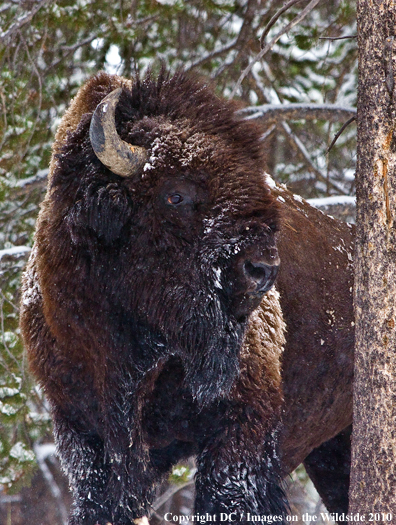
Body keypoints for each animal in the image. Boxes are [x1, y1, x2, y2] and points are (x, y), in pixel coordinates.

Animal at [18, 70, 354, 524]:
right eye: (175, 194)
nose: (263, 269)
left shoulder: (241, 424)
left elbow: (225, 497)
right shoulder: (81, 428)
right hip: (328, 451)